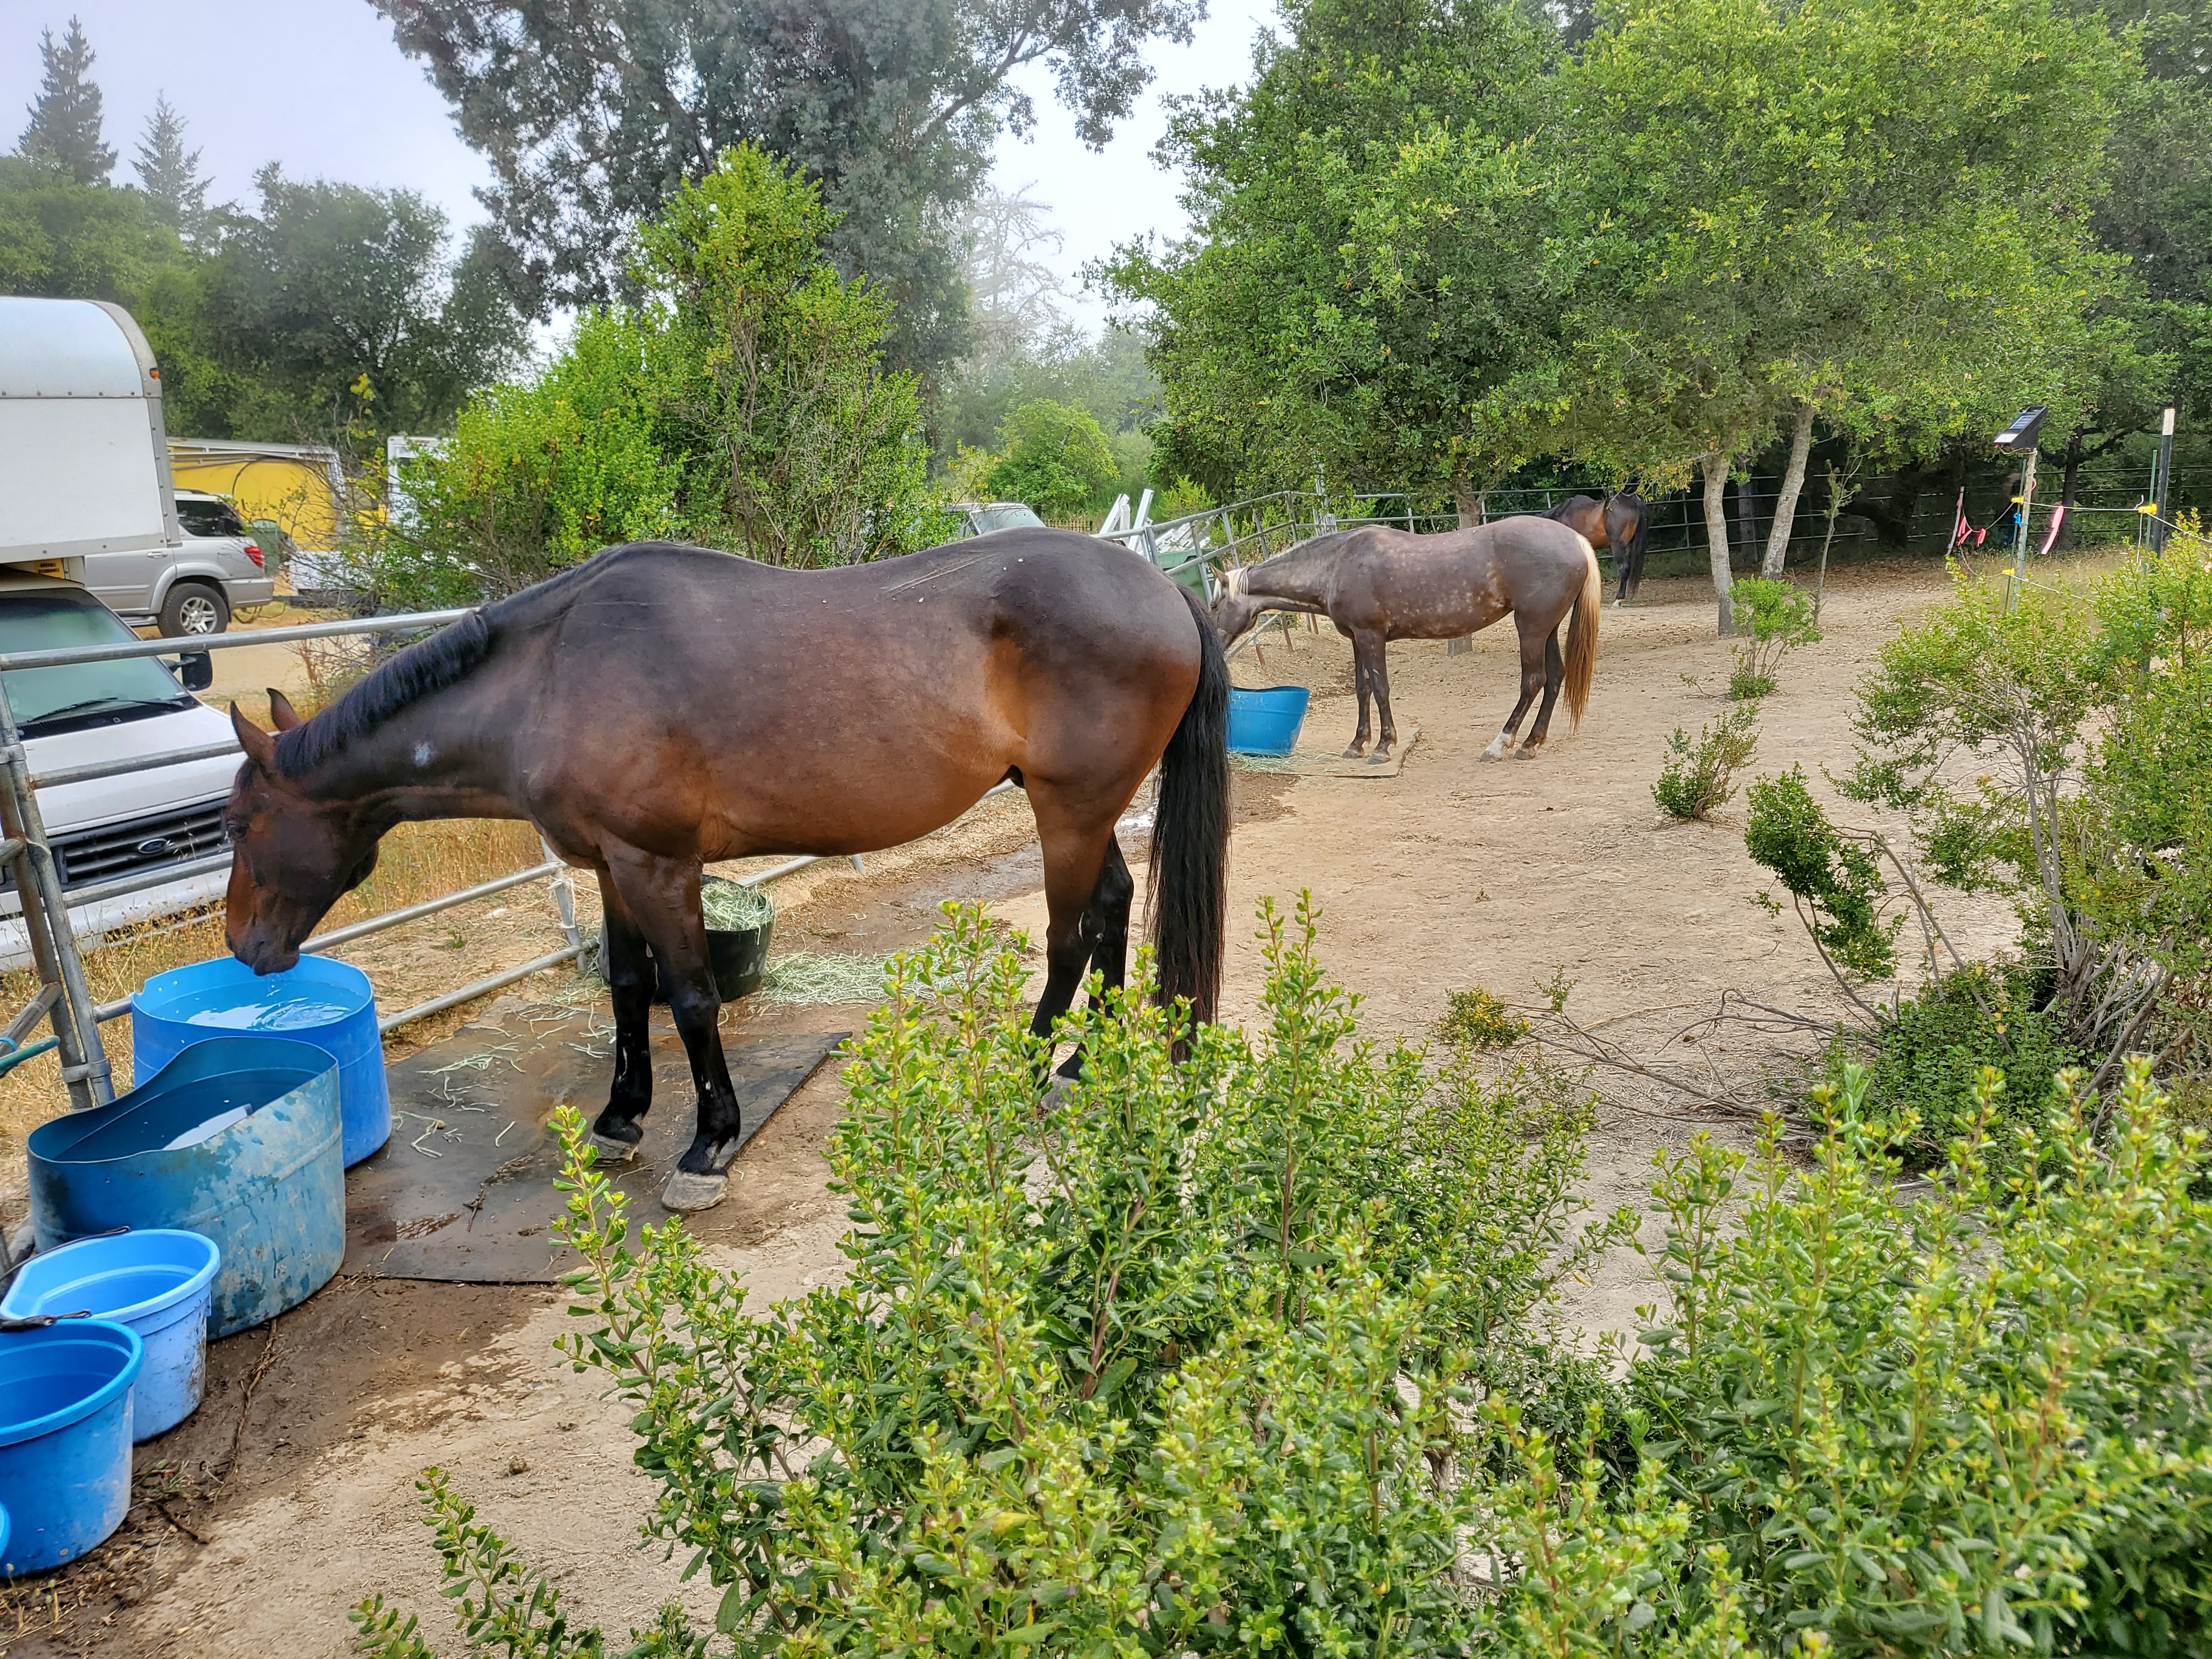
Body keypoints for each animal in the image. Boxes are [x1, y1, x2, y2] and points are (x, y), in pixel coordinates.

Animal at [220, 534, 1229, 1214]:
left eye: (235, 823)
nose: (243, 946)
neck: (552, 675)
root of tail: (1164, 590)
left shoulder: (660, 863)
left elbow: (693, 997)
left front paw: (707, 1145)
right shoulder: (611, 867)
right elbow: (629, 989)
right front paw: (620, 1117)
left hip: (1069, 808)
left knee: (1068, 935)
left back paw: (1034, 1068)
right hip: (1078, 809)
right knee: (1113, 907)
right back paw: (1086, 1063)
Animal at [1208, 517, 1600, 764]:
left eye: (1213, 604)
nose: (1213, 644)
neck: (1336, 565)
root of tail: (1576, 541)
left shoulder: (1372, 637)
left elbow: (1381, 687)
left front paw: (1383, 746)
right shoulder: (1356, 639)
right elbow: (1362, 687)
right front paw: (1357, 744)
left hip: (1530, 627)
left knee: (1533, 681)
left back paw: (1499, 745)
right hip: (1546, 628)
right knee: (1554, 678)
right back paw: (1532, 744)